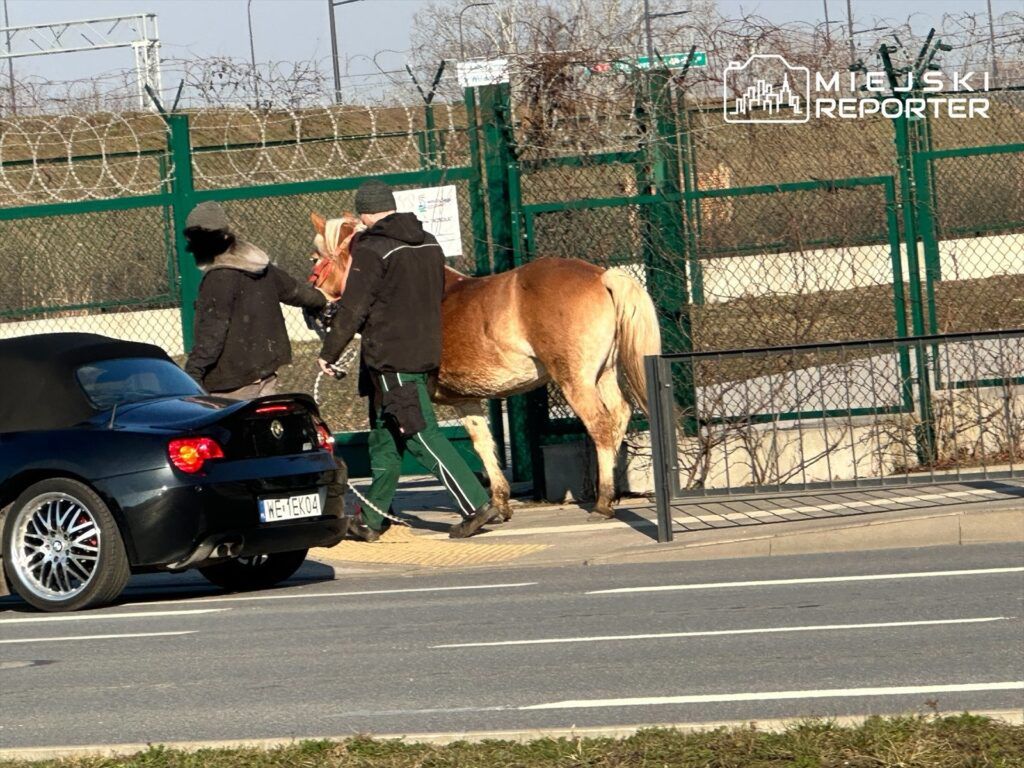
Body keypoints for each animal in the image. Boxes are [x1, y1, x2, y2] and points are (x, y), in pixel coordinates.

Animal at [307, 214, 659, 520]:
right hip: (604, 375)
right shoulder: (465, 399)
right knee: (619, 416)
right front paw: (499, 503)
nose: (314, 310)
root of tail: (601, 275)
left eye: (314, 258)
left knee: (600, 425)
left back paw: (603, 501)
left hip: (576, 380)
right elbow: (482, 443)